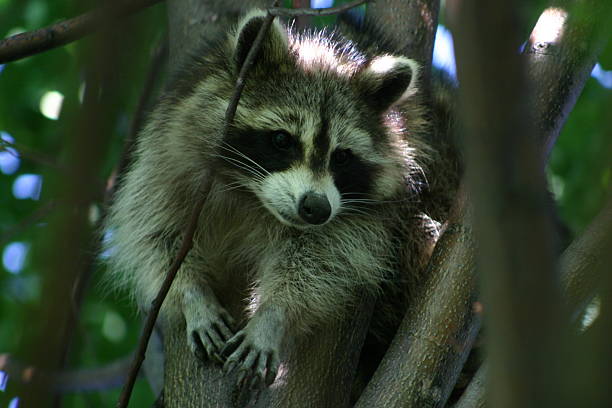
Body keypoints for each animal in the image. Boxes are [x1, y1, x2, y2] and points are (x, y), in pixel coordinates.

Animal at [104, 8, 440, 388]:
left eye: (342, 157)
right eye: (282, 140)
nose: (316, 209)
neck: (251, 196)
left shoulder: (370, 214)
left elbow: (325, 260)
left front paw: (272, 315)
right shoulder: (169, 150)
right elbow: (156, 231)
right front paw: (192, 293)